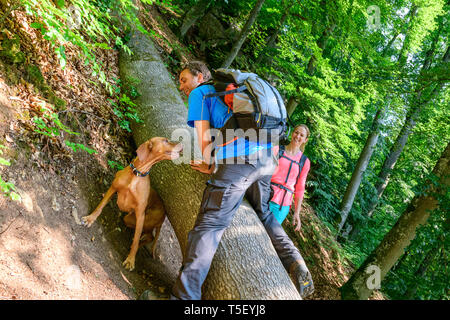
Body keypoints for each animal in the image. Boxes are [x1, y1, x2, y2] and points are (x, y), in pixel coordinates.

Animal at [81, 136, 182, 272]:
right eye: (166, 140)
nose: (182, 142)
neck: (137, 174)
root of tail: (164, 213)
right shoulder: (113, 188)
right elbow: (100, 206)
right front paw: (90, 219)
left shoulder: (140, 214)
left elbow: (135, 241)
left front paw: (130, 260)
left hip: (139, 219)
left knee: (149, 236)